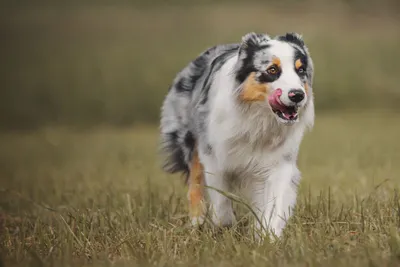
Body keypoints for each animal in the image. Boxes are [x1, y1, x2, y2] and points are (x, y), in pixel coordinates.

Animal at [159, 31, 316, 241]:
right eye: (272, 69)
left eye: (301, 70)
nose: (297, 95)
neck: (258, 119)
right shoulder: (213, 156)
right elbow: (221, 202)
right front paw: (225, 226)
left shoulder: (279, 162)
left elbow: (274, 202)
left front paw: (267, 237)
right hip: (191, 141)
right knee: (195, 185)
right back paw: (197, 224)